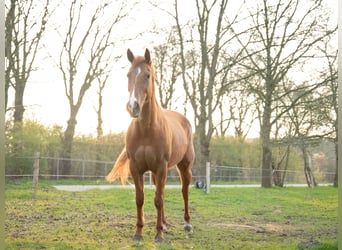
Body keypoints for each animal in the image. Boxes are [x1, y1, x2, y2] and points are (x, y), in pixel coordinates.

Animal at [105, 47, 194, 241]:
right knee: (162, 193)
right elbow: (141, 198)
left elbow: (158, 200)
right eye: (128, 74)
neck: (146, 129)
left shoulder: (161, 167)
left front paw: (158, 234)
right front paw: (138, 233)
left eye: (147, 75)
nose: (133, 107)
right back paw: (165, 224)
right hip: (155, 173)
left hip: (184, 166)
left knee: (184, 191)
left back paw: (187, 224)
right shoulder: (137, 168)